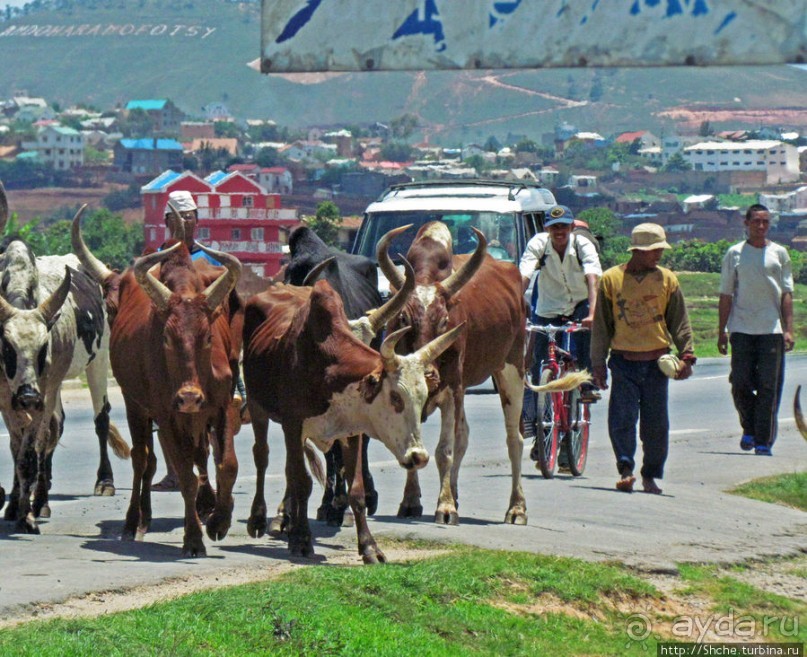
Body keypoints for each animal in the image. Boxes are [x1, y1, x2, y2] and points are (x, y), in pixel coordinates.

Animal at [74, 226, 241, 552]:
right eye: (166, 338)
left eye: (208, 337)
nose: (189, 398)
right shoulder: (167, 417)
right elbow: (184, 476)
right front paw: (193, 538)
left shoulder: (222, 407)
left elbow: (226, 464)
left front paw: (218, 521)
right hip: (136, 406)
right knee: (143, 460)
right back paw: (133, 522)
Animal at [243, 280, 464, 560]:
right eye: (395, 396)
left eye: (423, 396)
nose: (418, 457)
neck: (326, 366)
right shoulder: (293, 426)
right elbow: (301, 482)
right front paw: (302, 540)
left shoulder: (352, 433)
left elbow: (355, 489)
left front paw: (369, 546)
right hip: (256, 406)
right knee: (262, 456)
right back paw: (259, 519)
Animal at [376, 223, 584, 524]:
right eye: (403, 318)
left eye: (444, 320)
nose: (428, 375)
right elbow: (413, 442)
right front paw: (411, 501)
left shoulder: (452, 388)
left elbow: (445, 451)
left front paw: (445, 508)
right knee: (464, 435)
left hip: (511, 370)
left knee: (513, 440)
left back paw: (516, 508)